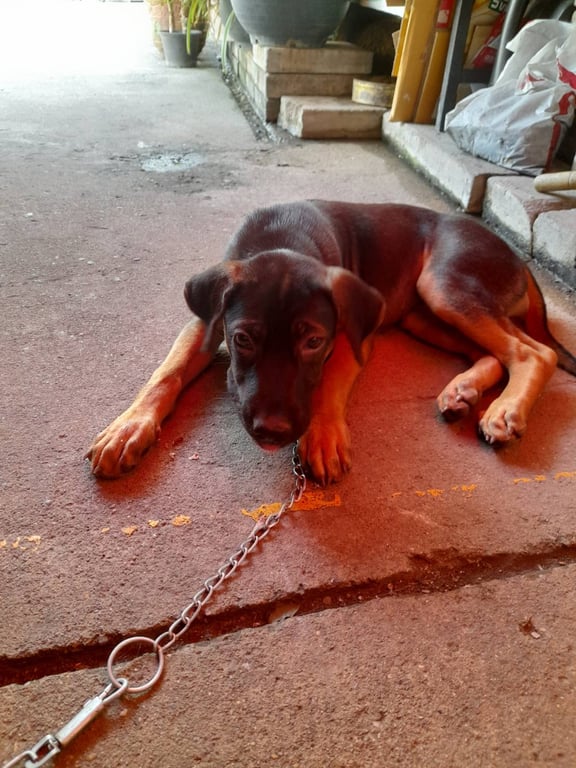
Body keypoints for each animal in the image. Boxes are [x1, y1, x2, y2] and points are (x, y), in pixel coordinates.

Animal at [86, 200, 576, 485]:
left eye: (313, 342)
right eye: (242, 338)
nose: (272, 432)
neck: (282, 238)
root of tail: (517, 256)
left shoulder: (352, 335)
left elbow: (332, 378)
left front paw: (322, 437)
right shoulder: (205, 322)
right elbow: (165, 374)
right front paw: (127, 428)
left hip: (444, 284)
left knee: (536, 352)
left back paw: (505, 411)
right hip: (423, 312)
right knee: (494, 354)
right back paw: (463, 391)